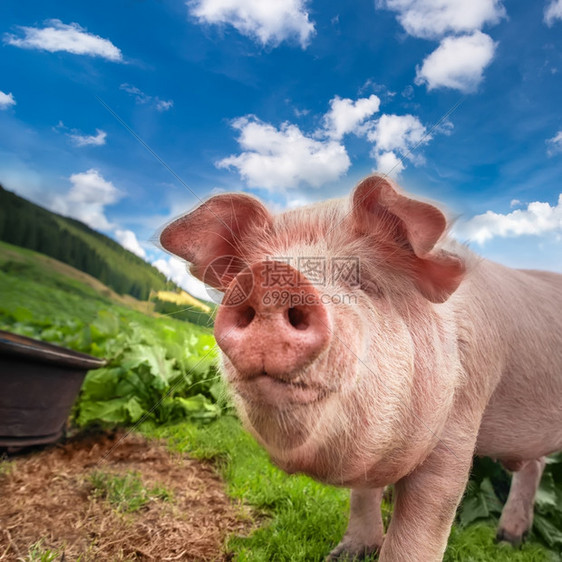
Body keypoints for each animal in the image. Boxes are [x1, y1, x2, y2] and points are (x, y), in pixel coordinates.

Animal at [159, 173, 560, 556]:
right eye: (258, 269)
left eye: (363, 280)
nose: (272, 281)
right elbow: (362, 495)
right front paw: (344, 553)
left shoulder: (461, 422)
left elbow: (418, 533)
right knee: (535, 464)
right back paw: (507, 540)